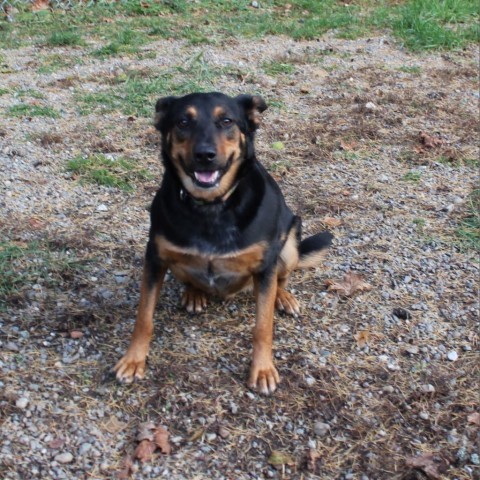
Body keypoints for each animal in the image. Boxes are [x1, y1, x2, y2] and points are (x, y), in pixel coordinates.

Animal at [115, 92, 334, 396]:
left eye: (227, 121)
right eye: (183, 122)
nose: (205, 155)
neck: (211, 206)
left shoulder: (264, 265)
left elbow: (263, 326)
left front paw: (262, 369)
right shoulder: (156, 258)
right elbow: (143, 317)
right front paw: (133, 360)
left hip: (289, 242)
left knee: (282, 277)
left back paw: (283, 297)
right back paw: (194, 293)